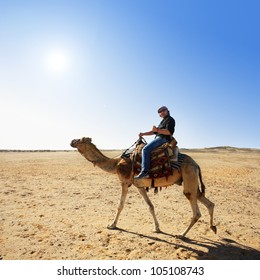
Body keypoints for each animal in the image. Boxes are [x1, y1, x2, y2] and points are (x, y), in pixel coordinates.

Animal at [70, 137, 216, 237]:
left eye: (80, 139)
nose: (72, 141)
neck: (116, 163)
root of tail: (196, 164)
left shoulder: (125, 182)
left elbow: (120, 205)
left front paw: (112, 225)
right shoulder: (139, 186)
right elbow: (150, 206)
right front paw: (157, 228)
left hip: (189, 177)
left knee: (195, 209)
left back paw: (181, 234)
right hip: (192, 182)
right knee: (208, 203)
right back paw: (212, 227)